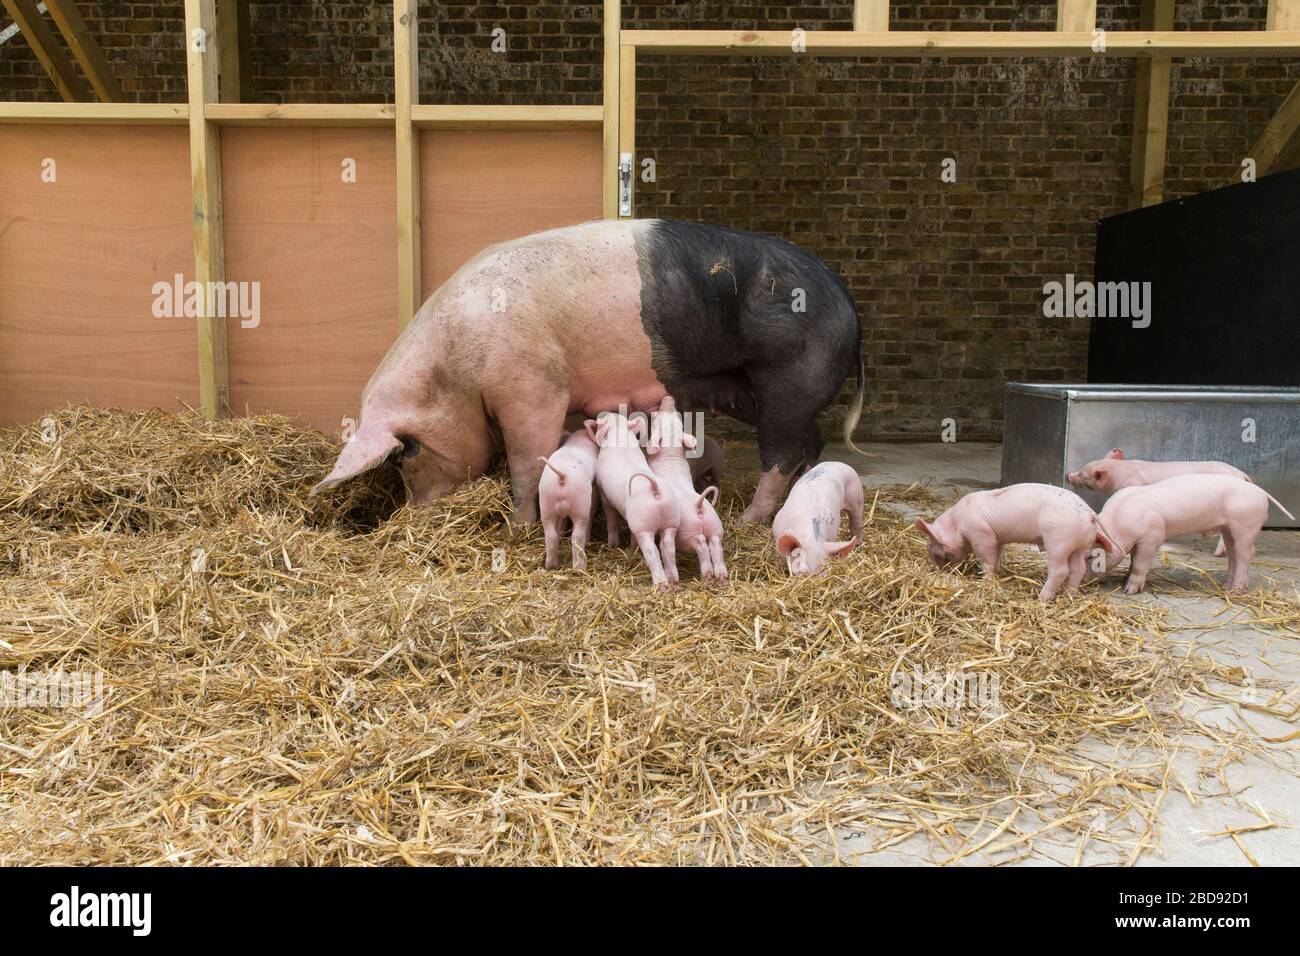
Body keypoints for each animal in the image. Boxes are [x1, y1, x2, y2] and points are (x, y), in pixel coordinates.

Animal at [306, 219, 863, 522]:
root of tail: (849, 307)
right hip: (753, 392)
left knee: (783, 450)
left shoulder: (533, 389)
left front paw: (517, 527)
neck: (453, 370)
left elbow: (527, 463)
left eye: (406, 455)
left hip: (789, 377)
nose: (418, 513)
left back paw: (748, 520)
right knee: (809, 442)